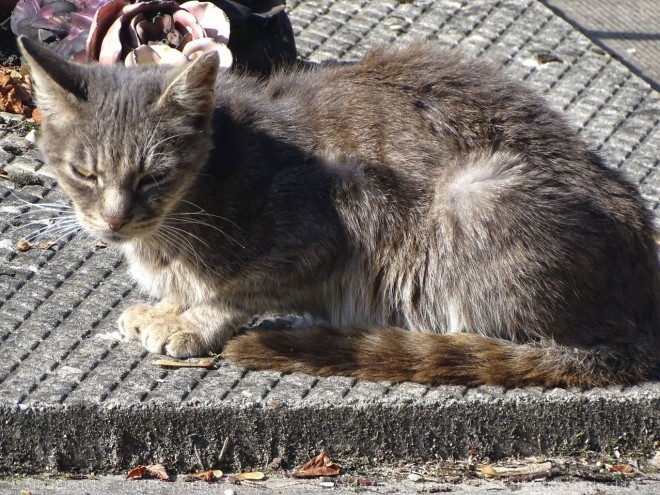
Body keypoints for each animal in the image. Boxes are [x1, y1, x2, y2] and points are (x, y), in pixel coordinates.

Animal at [20, 36, 660, 390]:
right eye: (84, 173)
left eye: (154, 175)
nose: (114, 220)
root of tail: (639, 313)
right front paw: (168, 306)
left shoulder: (327, 229)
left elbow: (235, 292)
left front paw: (192, 321)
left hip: (473, 197)